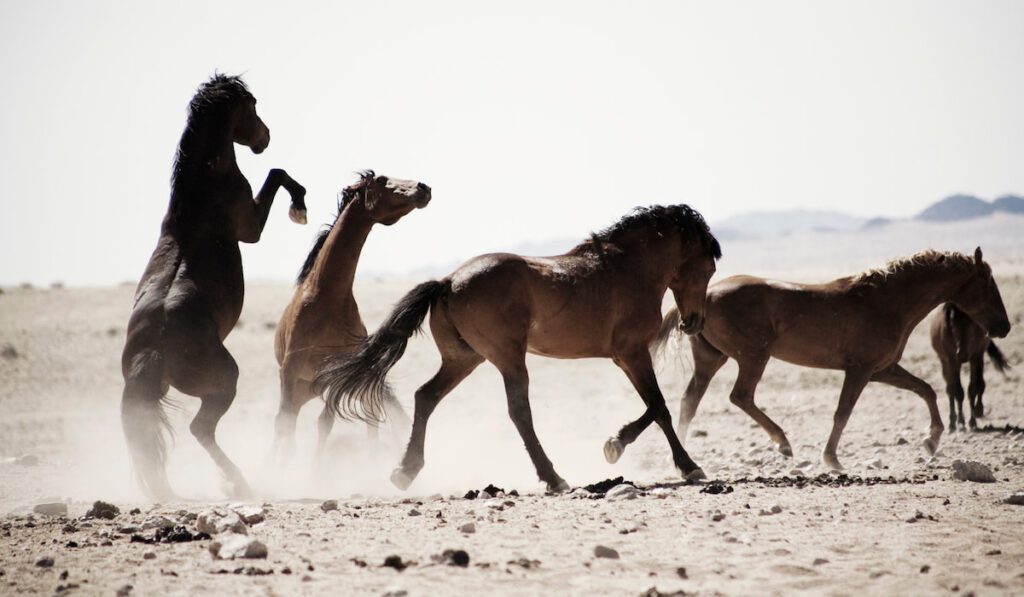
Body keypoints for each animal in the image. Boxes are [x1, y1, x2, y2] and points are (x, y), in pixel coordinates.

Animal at [122, 73, 305, 499]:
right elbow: (277, 174)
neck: (201, 193)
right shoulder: (250, 228)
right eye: (252, 104)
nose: (265, 136)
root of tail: (155, 348)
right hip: (224, 382)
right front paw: (300, 206)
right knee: (200, 429)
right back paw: (240, 482)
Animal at [272, 171, 428, 464]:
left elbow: (325, 423)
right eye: (380, 179)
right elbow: (285, 426)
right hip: (300, 386)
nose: (423, 187)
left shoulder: (337, 375)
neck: (326, 299)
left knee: (372, 424)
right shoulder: (289, 371)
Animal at [311, 204, 720, 491]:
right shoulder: (632, 354)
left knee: (426, 396)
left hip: (465, 359)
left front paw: (627, 447)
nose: (694, 322)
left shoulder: (628, 357)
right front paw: (672, 462)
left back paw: (405, 471)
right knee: (519, 411)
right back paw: (554, 478)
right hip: (507, 358)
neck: (629, 269)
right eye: (709, 267)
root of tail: (448, 282)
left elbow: (656, 407)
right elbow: (659, 406)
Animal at [655, 247, 1007, 471]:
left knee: (690, 401)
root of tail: (704, 297)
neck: (887, 301)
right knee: (740, 396)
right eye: (988, 283)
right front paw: (832, 459)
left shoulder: (883, 369)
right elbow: (843, 412)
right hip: (752, 357)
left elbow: (926, 389)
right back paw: (783, 443)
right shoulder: (860, 371)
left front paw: (931, 440)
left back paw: (684, 458)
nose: (1004, 327)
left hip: (712, 359)